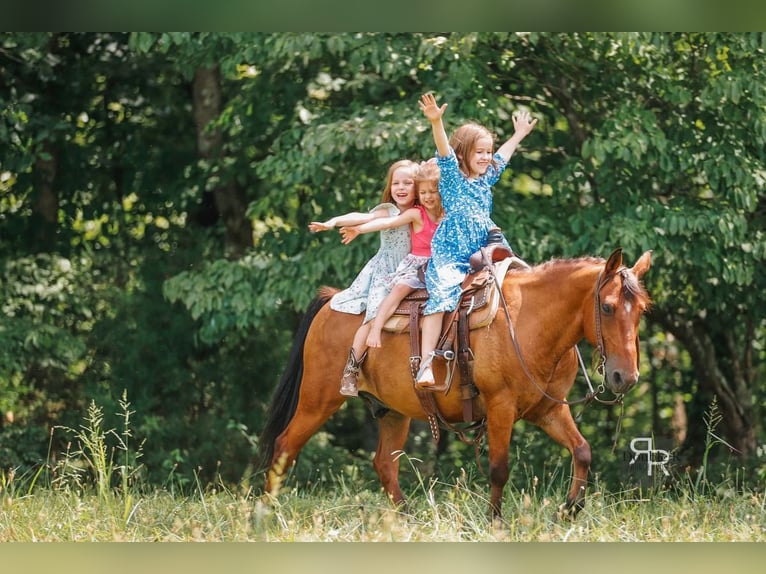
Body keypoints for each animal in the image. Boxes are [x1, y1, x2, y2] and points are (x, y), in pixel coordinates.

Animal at [257, 248, 652, 519]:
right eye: (607, 307)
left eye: (642, 310)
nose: (625, 377)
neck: (532, 321)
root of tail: (331, 302)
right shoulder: (500, 407)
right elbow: (499, 469)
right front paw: (495, 522)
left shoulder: (548, 408)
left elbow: (582, 451)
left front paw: (570, 509)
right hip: (318, 400)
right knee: (284, 446)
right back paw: (265, 514)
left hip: (393, 412)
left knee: (384, 463)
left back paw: (408, 519)